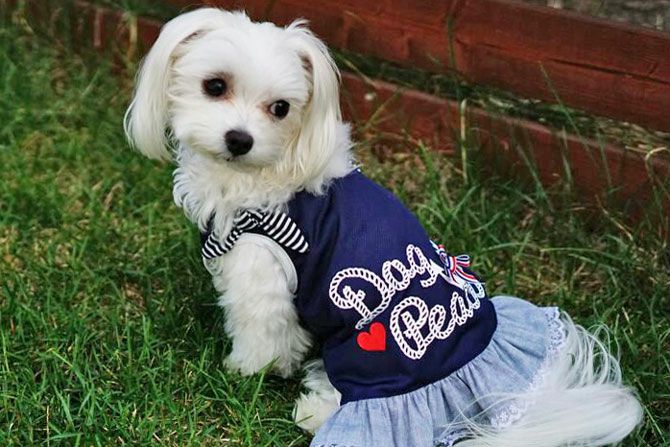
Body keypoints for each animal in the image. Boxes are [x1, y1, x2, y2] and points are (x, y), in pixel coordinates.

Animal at [125, 8, 642, 446]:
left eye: (281, 109)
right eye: (214, 85)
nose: (239, 139)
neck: (270, 177)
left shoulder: (260, 277)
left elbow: (265, 339)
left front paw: (243, 372)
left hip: (362, 351)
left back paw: (315, 412)